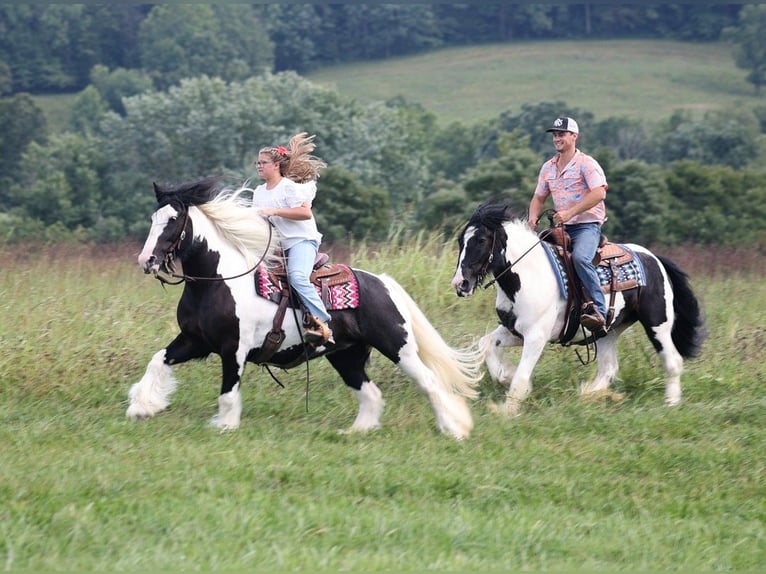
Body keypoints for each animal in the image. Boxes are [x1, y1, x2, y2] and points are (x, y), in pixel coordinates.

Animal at [129, 178, 484, 438]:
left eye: (173, 220)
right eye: (152, 218)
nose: (146, 260)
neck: (216, 280)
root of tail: (382, 283)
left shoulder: (234, 348)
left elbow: (228, 391)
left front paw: (225, 426)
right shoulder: (194, 341)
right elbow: (157, 361)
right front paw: (141, 407)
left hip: (398, 346)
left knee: (430, 382)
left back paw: (454, 429)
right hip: (346, 354)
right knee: (370, 393)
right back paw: (356, 432)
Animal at [450, 202, 708, 414]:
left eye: (481, 240)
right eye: (461, 241)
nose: (460, 284)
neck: (529, 275)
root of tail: (653, 258)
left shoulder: (536, 336)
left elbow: (522, 376)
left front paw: (507, 409)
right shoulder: (514, 331)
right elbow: (486, 344)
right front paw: (504, 376)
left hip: (657, 324)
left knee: (673, 361)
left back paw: (671, 403)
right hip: (607, 330)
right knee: (608, 368)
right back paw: (589, 394)